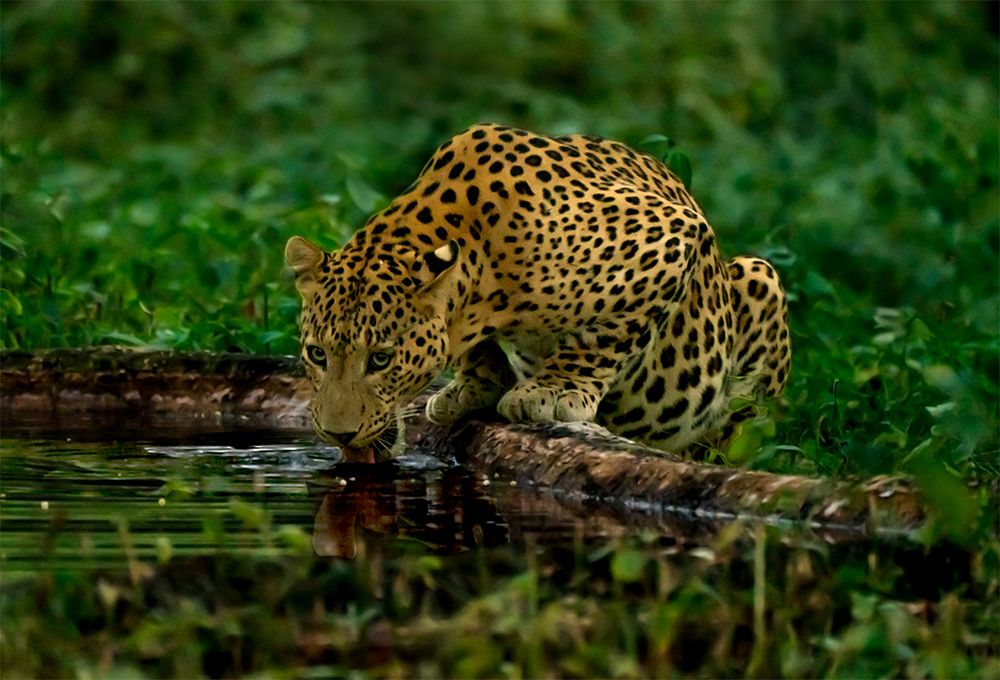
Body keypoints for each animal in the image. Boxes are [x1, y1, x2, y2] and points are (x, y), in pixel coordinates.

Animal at [285, 123, 790, 463]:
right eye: (317, 354)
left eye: (381, 360)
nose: (338, 435)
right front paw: (475, 386)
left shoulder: (669, 235)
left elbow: (604, 336)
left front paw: (552, 390)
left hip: (759, 278)